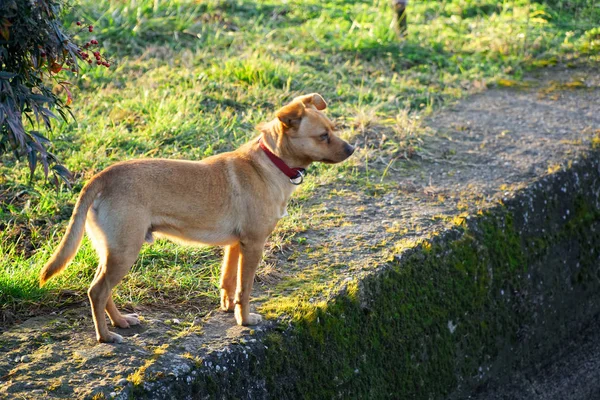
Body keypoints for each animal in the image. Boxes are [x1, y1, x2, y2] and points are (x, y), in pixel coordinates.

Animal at [37, 94, 354, 344]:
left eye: (333, 129)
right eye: (323, 136)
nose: (352, 149)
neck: (270, 162)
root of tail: (100, 178)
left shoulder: (235, 245)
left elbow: (228, 280)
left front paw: (228, 307)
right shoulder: (253, 245)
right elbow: (245, 288)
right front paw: (245, 319)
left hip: (112, 251)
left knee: (102, 291)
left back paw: (121, 321)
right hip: (126, 251)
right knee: (97, 291)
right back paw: (105, 336)